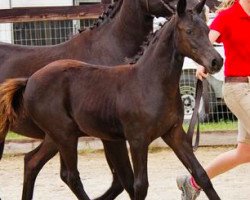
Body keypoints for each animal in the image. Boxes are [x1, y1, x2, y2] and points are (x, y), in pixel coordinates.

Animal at [0, 0, 223, 198]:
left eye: (206, 30)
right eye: (189, 31)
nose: (216, 61)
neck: (148, 80)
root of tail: (29, 80)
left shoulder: (174, 134)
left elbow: (201, 174)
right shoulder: (136, 140)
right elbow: (138, 185)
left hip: (56, 136)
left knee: (32, 162)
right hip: (64, 135)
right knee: (71, 176)